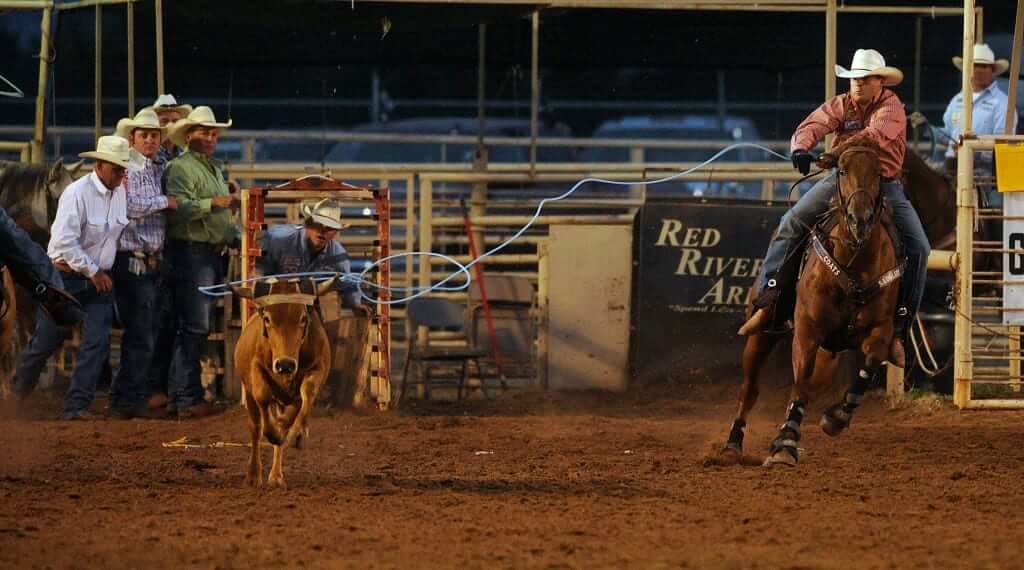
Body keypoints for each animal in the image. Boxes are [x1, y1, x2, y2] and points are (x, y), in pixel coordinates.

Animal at [233, 278, 335, 487]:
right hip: (248, 393)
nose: (285, 365)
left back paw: (276, 474)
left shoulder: (317, 369)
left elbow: (308, 392)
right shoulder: (256, 368)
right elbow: (263, 396)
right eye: (267, 319)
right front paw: (273, 432)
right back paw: (253, 474)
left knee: (286, 419)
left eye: (303, 318)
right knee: (255, 427)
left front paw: (296, 433)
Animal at [720, 143, 958, 466]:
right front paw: (785, 443)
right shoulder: (807, 331)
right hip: (760, 337)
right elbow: (800, 381)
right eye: (842, 170)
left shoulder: (880, 331)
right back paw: (733, 443)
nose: (860, 219)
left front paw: (836, 417)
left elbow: (867, 367)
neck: (854, 264)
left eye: (880, 173)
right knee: (750, 388)